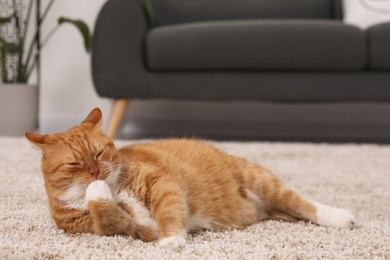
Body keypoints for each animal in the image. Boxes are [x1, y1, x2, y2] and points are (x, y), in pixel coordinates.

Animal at [25, 108, 356, 249]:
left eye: (98, 153)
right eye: (74, 163)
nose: (95, 172)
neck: (115, 187)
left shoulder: (161, 185)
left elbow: (169, 210)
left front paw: (173, 240)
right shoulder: (135, 229)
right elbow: (108, 217)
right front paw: (97, 192)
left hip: (260, 179)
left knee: (304, 203)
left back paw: (341, 217)